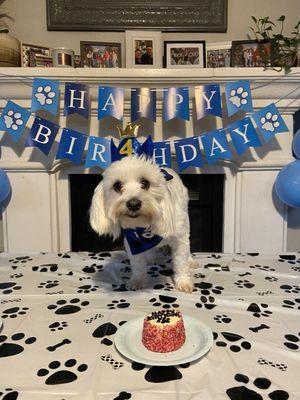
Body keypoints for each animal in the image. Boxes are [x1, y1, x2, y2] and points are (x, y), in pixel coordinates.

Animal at [90, 155, 196, 292]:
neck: (146, 227)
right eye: (117, 185)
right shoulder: (133, 243)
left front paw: (183, 281)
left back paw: (191, 261)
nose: (133, 204)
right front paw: (138, 280)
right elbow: (138, 264)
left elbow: (181, 261)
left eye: (145, 183)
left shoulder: (180, 240)